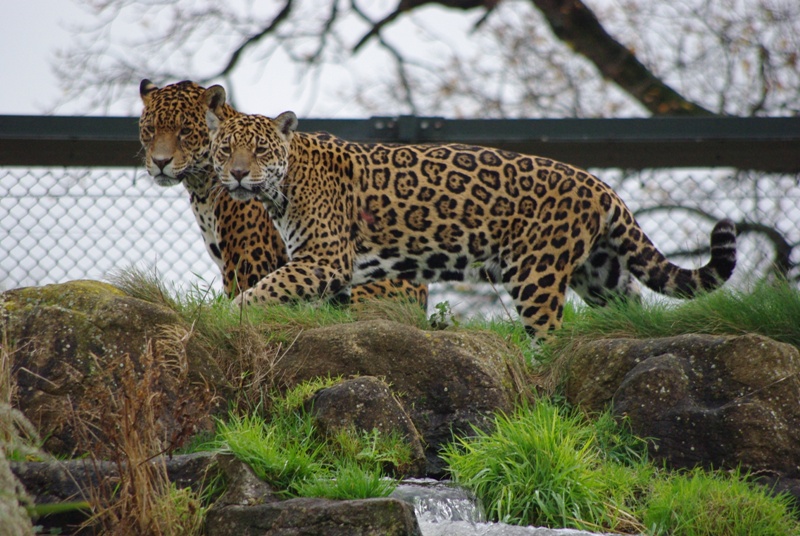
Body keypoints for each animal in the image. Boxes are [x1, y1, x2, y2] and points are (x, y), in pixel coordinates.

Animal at [203, 85, 737, 340]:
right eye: (226, 149)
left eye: (259, 150)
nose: (237, 175)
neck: (282, 187)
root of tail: (599, 184)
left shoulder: (324, 259)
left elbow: (265, 289)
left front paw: (228, 316)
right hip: (599, 271)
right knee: (630, 305)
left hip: (536, 271)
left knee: (548, 334)